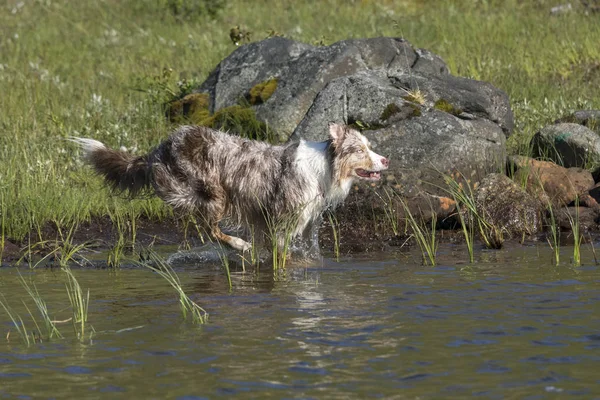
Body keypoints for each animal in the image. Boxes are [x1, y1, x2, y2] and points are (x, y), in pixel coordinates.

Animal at [71, 123, 390, 252]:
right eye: (361, 150)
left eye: (369, 146)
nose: (386, 159)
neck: (325, 166)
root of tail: (159, 147)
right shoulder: (283, 220)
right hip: (212, 193)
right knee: (208, 227)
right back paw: (239, 244)